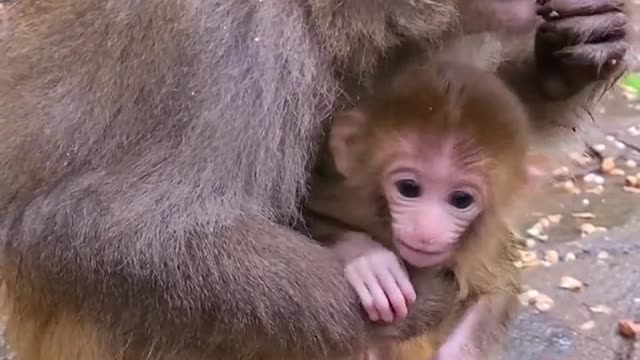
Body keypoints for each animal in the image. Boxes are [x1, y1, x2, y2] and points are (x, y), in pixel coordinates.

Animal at [308, 60, 548, 358]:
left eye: (461, 200)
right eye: (409, 188)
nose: (427, 231)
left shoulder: (484, 246)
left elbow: (500, 290)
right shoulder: (348, 196)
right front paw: (368, 260)